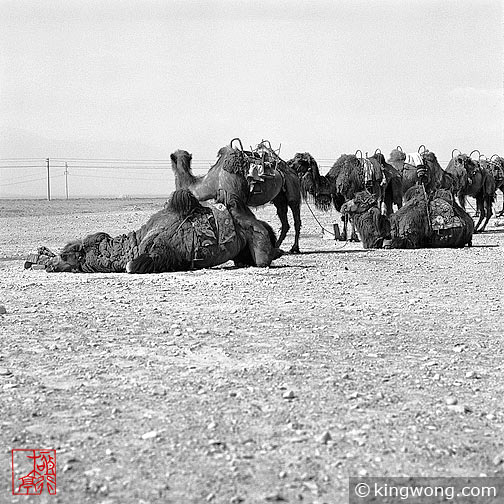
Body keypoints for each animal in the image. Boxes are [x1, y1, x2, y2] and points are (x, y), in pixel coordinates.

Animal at [45, 189, 282, 274]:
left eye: (64, 255)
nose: (48, 264)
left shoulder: (160, 252)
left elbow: (131, 266)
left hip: (258, 240)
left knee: (263, 258)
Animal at [171, 139, 302, 252]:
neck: (213, 181)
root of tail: (292, 170)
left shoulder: (235, 197)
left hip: (293, 191)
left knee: (296, 218)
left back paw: (294, 248)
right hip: (279, 198)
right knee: (284, 219)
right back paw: (277, 246)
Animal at [340, 186, 474, 249]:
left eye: (357, 201)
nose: (343, 206)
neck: (391, 226)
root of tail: (469, 220)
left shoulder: (410, 240)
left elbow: (388, 243)